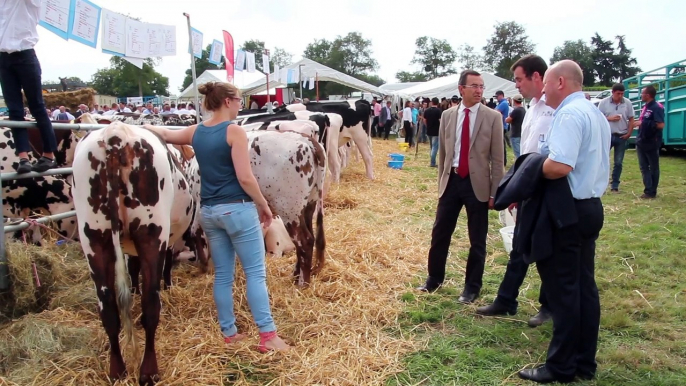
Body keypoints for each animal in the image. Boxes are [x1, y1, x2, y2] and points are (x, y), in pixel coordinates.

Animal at [72, 120, 195, 382]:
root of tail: (116, 134)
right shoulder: (165, 240)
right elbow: (163, 266)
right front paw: (168, 285)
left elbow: (132, 269)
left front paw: (135, 289)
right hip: (151, 233)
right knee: (151, 304)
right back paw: (148, 371)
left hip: (94, 237)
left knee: (108, 308)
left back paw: (117, 370)